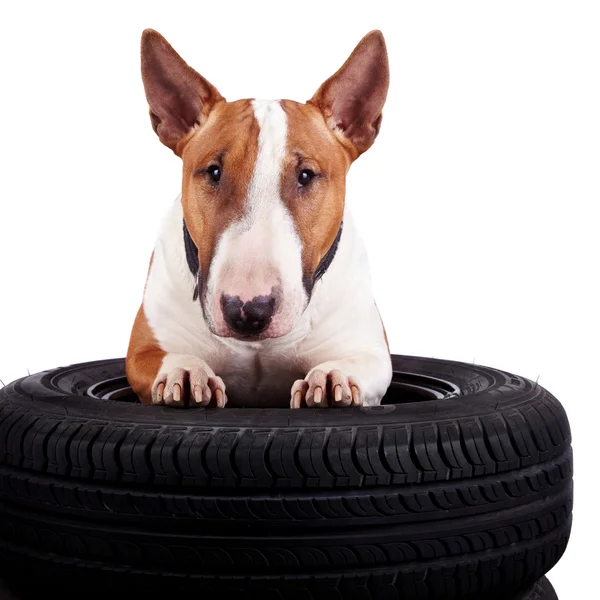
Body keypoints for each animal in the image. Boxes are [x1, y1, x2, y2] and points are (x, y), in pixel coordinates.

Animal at [126, 30, 394, 410]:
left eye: (306, 175)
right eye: (214, 171)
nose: (247, 312)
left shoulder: (370, 350)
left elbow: (355, 362)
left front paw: (332, 378)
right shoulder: (142, 350)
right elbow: (164, 357)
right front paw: (186, 371)